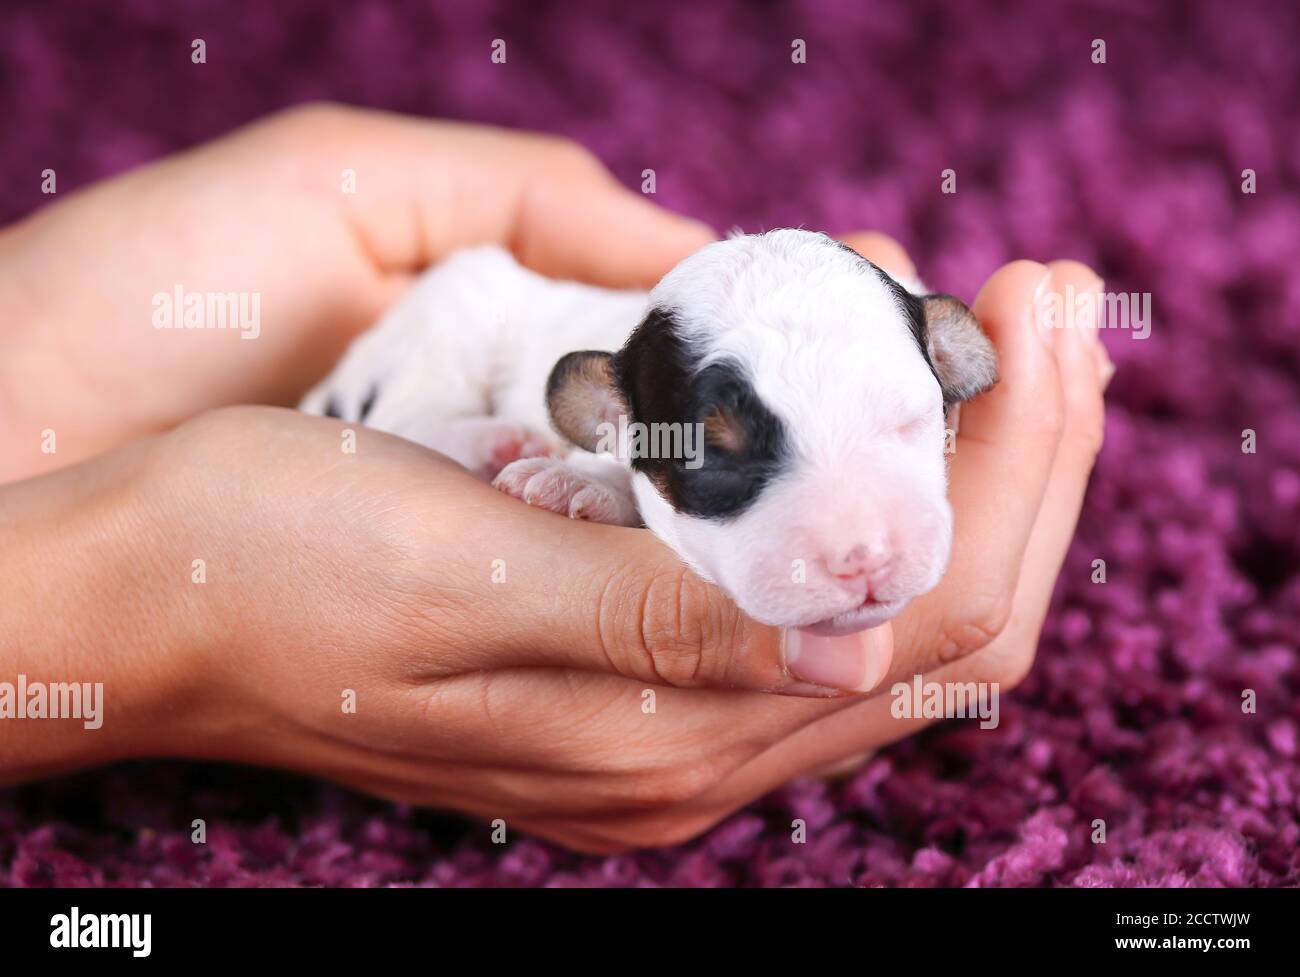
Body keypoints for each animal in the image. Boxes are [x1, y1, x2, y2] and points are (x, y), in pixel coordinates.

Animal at [301, 232, 993, 636]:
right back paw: (492, 440)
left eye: (909, 421)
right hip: (450, 315)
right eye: (715, 459)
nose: (865, 556)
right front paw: (571, 477)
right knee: (400, 415)